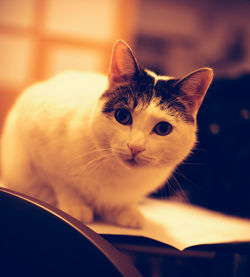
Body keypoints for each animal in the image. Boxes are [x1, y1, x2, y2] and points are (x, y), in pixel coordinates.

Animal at [0, 40, 213, 227]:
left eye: (163, 129)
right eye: (122, 116)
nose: (135, 147)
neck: (119, 175)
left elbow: (124, 201)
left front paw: (126, 212)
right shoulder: (39, 148)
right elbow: (62, 183)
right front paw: (75, 206)